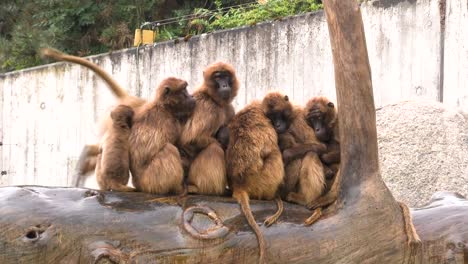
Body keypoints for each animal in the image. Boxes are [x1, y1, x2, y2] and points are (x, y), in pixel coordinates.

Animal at [177, 60, 239, 195]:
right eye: (218, 77)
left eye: (226, 76)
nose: (224, 85)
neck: (215, 101)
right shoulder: (206, 106)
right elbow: (191, 139)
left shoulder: (229, 108)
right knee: (214, 148)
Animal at [226, 91, 292, 264]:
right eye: (273, 117)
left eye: (279, 115)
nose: (277, 124)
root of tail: (239, 185)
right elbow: (269, 148)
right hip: (264, 180)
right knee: (274, 155)